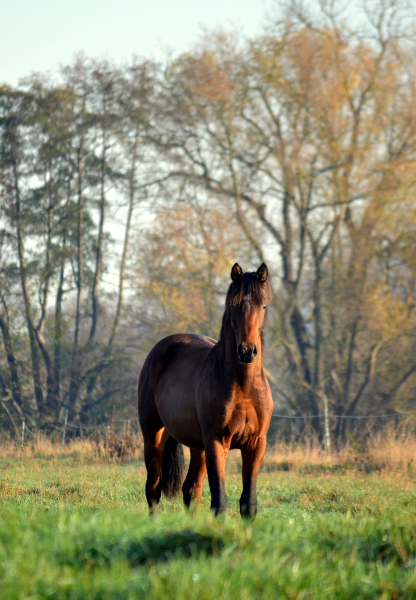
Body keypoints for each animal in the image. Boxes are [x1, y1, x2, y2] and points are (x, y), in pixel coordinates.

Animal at [137, 264, 272, 516]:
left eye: (264, 305)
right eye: (233, 305)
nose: (247, 351)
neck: (244, 386)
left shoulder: (256, 443)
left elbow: (248, 503)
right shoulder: (217, 442)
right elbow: (220, 501)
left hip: (197, 446)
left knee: (191, 489)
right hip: (153, 436)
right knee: (154, 488)